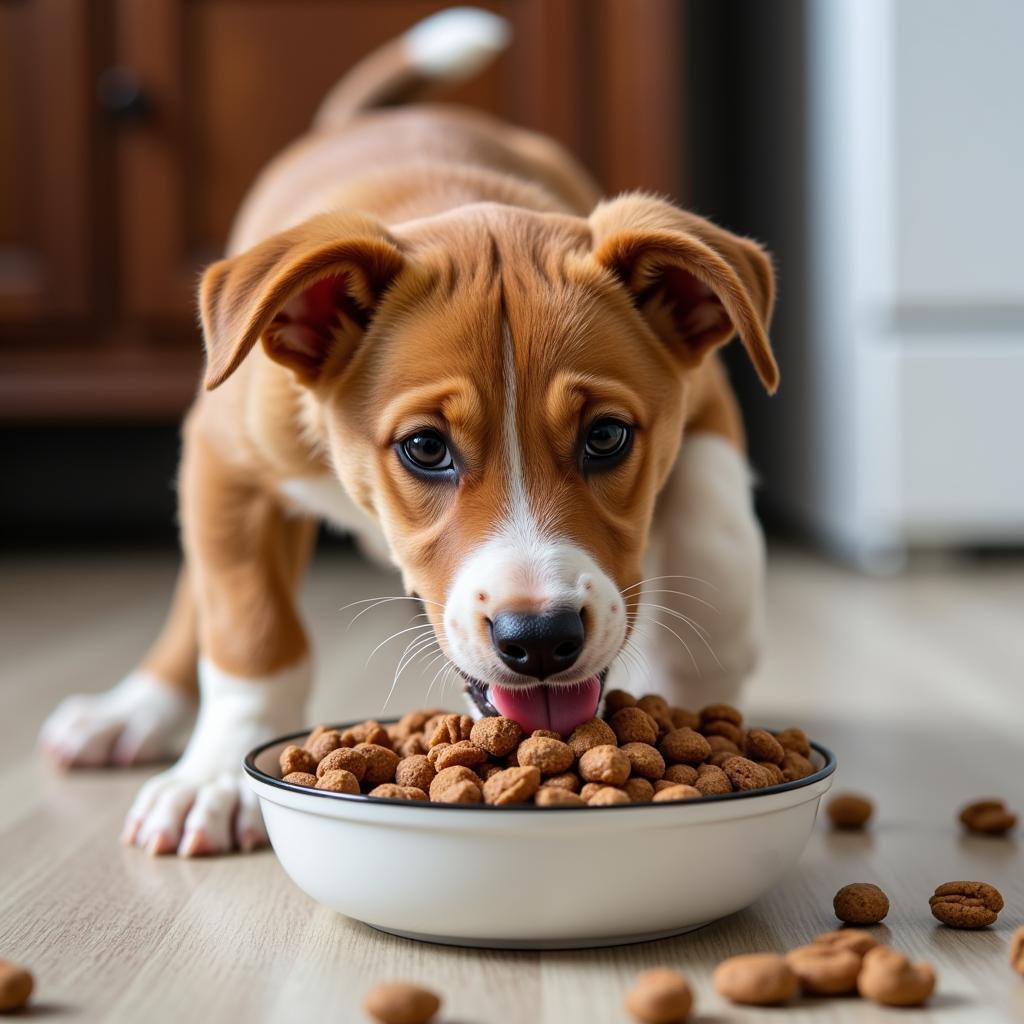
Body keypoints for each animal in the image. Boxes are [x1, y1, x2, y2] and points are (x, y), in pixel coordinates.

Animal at [37, 8, 774, 856]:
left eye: (608, 437)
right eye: (425, 448)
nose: (540, 639)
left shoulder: (708, 400)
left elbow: (717, 539)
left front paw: (698, 680)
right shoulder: (228, 459)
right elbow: (251, 630)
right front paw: (217, 776)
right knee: (207, 590)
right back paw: (134, 710)